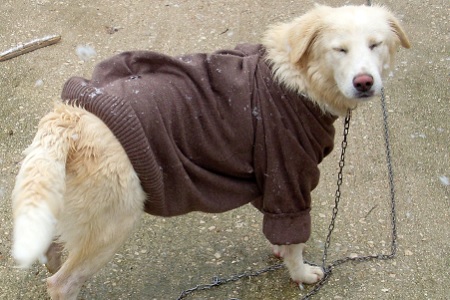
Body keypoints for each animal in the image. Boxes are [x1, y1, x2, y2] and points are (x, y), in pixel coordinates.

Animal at [11, 5, 412, 300]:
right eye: (339, 49)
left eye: (375, 45)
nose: (365, 82)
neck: (297, 77)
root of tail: (71, 115)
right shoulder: (289, 179)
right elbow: (295, 237)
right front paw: (300, 272)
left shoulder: (271, 180)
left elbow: (282, 233)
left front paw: (280, 252)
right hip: (112, 223)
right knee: (61, 283)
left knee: (51, 250)